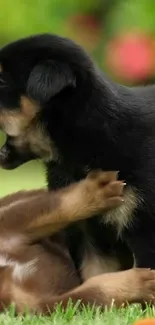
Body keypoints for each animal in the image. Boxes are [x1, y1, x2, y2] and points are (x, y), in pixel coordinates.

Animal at [0, 170, 155, 314]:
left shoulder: (11, 221)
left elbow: (55, 206)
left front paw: (98, 190)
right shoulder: (38, 305)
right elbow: (92, 293)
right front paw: (143, 283)